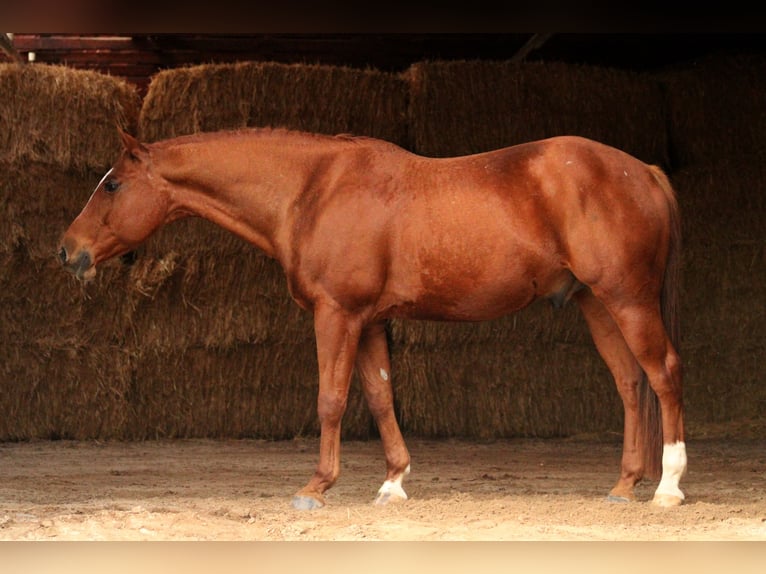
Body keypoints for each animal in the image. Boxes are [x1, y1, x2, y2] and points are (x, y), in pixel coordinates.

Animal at [58, 127, 686, 510]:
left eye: (112, 184)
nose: (67, 251)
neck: (311, 191)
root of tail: (645, 171)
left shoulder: (337, 315)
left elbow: (331, 399)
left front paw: (317, 486)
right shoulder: (371, 322)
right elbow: (381, 397)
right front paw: (393, 482)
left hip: (628, 299)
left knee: (662, 374)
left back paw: (669, 485)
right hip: (596, 303)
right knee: (630, 384)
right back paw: (625, 484)